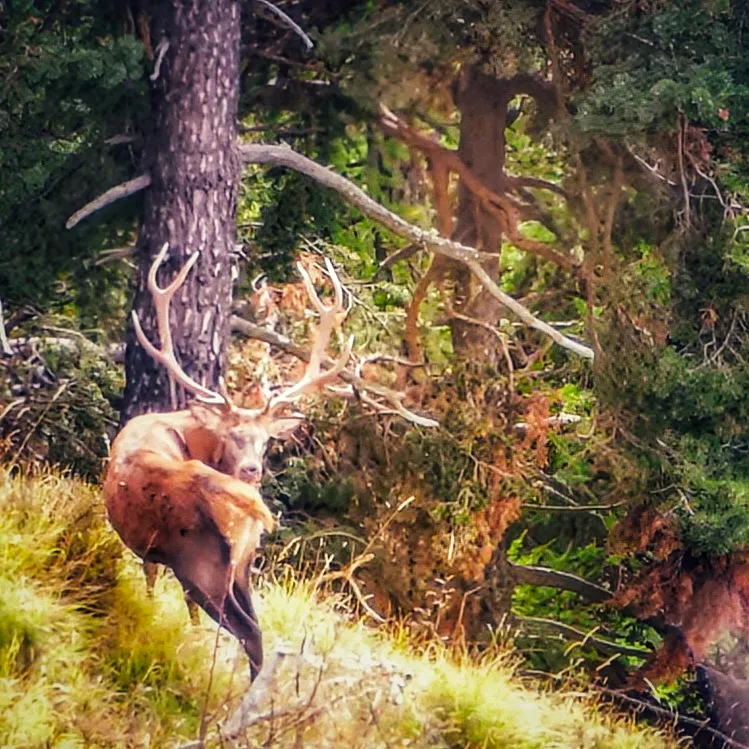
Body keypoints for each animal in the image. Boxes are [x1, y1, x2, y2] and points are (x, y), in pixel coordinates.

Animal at [104, 242, 353, 680]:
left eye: (266, 441)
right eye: (232, 437)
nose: (253, 469)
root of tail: (248, 505)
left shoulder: (152, 551)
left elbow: (153, 587)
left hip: (199, 562)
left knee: (247, 631)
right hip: (242, 564)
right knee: (257, 628)